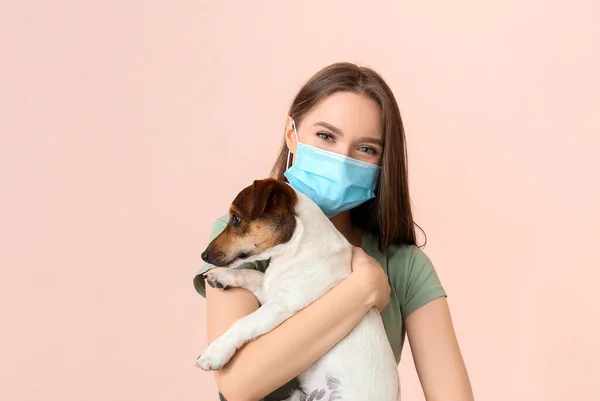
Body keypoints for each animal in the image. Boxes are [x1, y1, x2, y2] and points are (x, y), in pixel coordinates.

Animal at [199, 179, 400, 400]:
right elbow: (251, 274)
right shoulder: (268, 289)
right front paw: (220, 276)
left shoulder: (281, 306)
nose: (204, 255)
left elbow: (242, 323)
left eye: (236, 219)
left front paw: (215, 352)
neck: (298, 251)